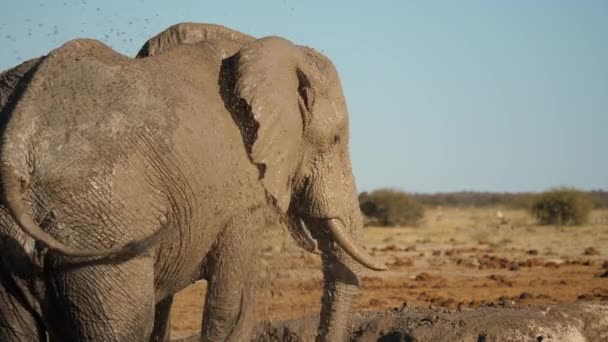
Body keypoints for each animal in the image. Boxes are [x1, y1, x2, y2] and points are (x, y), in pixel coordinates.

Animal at [0, 22, 388, 340]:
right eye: (335, 139)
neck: (253, 45)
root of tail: (14, 152)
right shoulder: (240, 187)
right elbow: (231, 305)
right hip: (101, 226)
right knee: (121, 325)